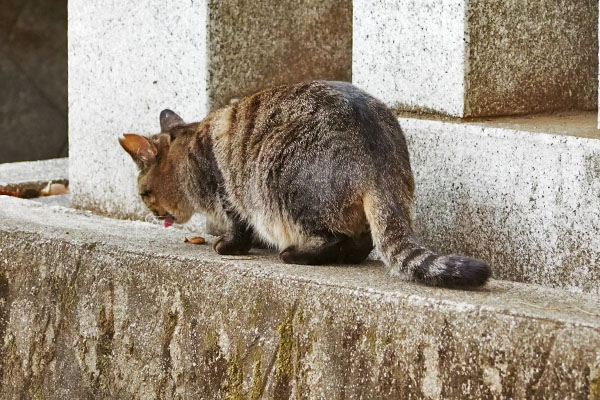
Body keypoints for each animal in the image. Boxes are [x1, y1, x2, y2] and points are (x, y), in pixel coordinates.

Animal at [119, 80, 490, 288]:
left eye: (144, 194)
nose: (153, 213)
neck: (189, 146)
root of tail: (378, 162)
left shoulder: (229, 193)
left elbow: (238, 227)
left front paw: (229, 246)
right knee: (361, 241)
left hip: (281, 183)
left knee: (333, 238)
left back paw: (295, 253)